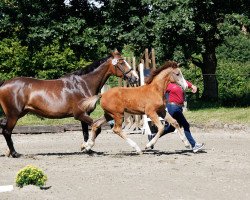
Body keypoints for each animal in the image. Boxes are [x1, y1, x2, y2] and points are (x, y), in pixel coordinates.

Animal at [0, 50, 139, 158]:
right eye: (121, 62)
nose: (135, 78)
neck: (83, 84)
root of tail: (4, 84)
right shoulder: (80, 114)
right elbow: (96, 128)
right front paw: (86, 147)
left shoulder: (85, 115)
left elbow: (86, 132)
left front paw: (88, 149)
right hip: (14, 115)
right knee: (6, 131)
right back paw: (15, 153)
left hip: (17, 114)